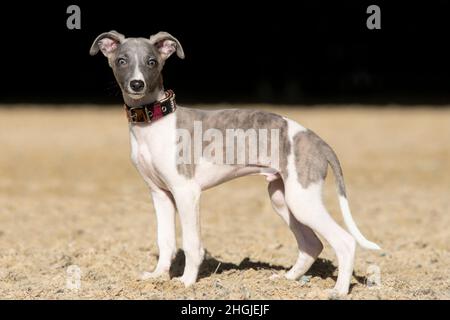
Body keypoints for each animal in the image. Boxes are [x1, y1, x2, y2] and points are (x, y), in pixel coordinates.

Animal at [89, 30, 380, 296]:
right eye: (122, 60)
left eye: (152, 61)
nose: (137, 85)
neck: (154, 122)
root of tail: (318, 141)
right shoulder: (160, 194)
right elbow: (166, 241)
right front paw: (159, 277)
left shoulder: (186, 192)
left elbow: (192, 244)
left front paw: (186, 282)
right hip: (281, 197)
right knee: (312, 245)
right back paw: (286, 280)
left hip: (302, 199)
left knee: (345, 241)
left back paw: (339, 290)